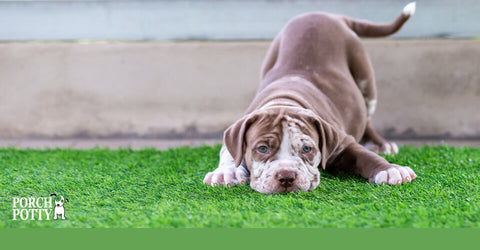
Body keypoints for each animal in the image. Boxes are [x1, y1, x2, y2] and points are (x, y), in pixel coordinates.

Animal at [202, 1, 416, 193]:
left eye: (306, 149)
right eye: (262, 149)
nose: (286, 176)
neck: (284, 100)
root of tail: (328, 15)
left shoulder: (342, 142)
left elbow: (364, 156)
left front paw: (390, 170)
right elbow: (230, 153)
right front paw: (226, 172)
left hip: (365, 78)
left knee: (367, 116)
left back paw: (381, 145)